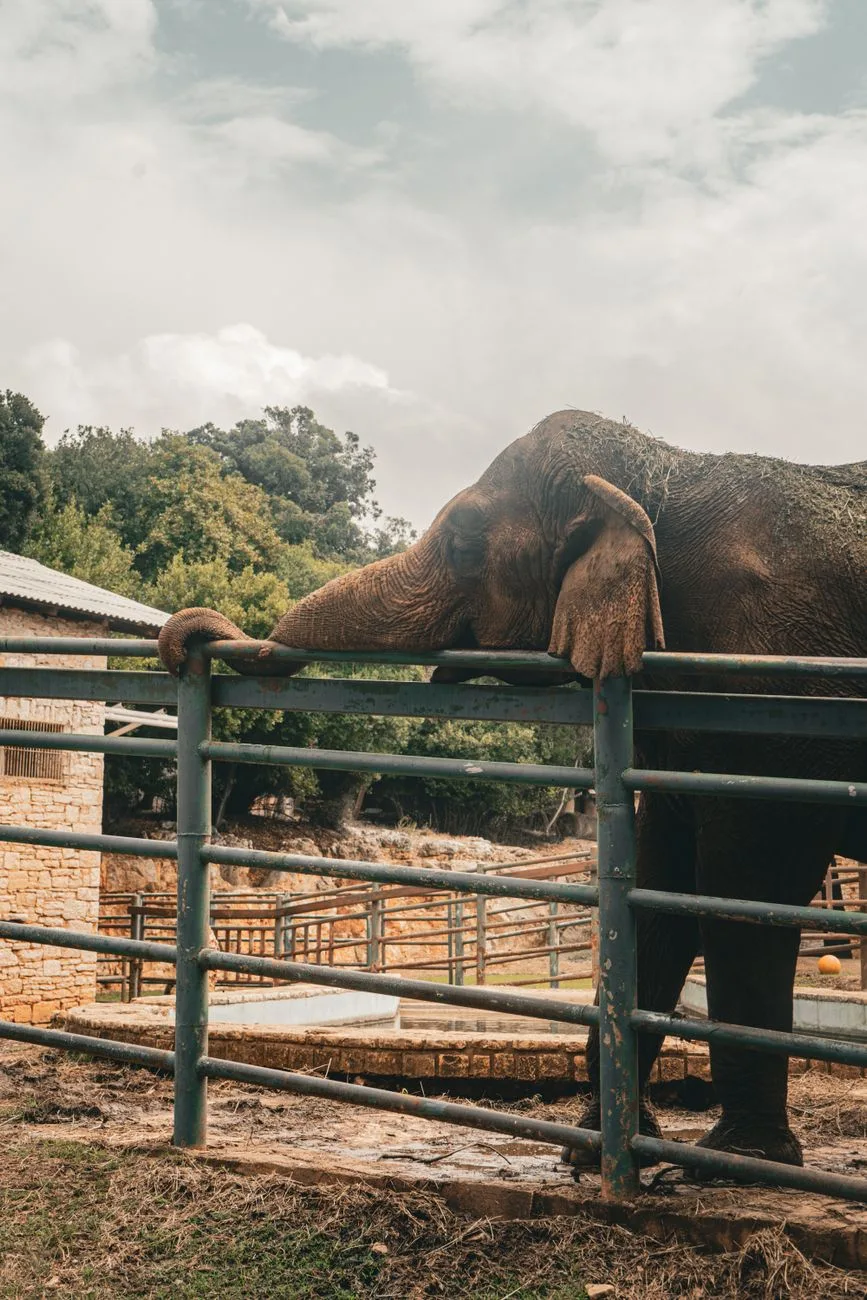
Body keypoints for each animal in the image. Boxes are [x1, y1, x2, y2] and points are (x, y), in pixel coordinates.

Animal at [158, 409, 867, 1173]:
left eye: (466, 546)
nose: (190, 637)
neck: (662, 471)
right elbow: (660, 882)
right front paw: (596, 1150)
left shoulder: (770, 692)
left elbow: (747, 885)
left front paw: (732, 1159)